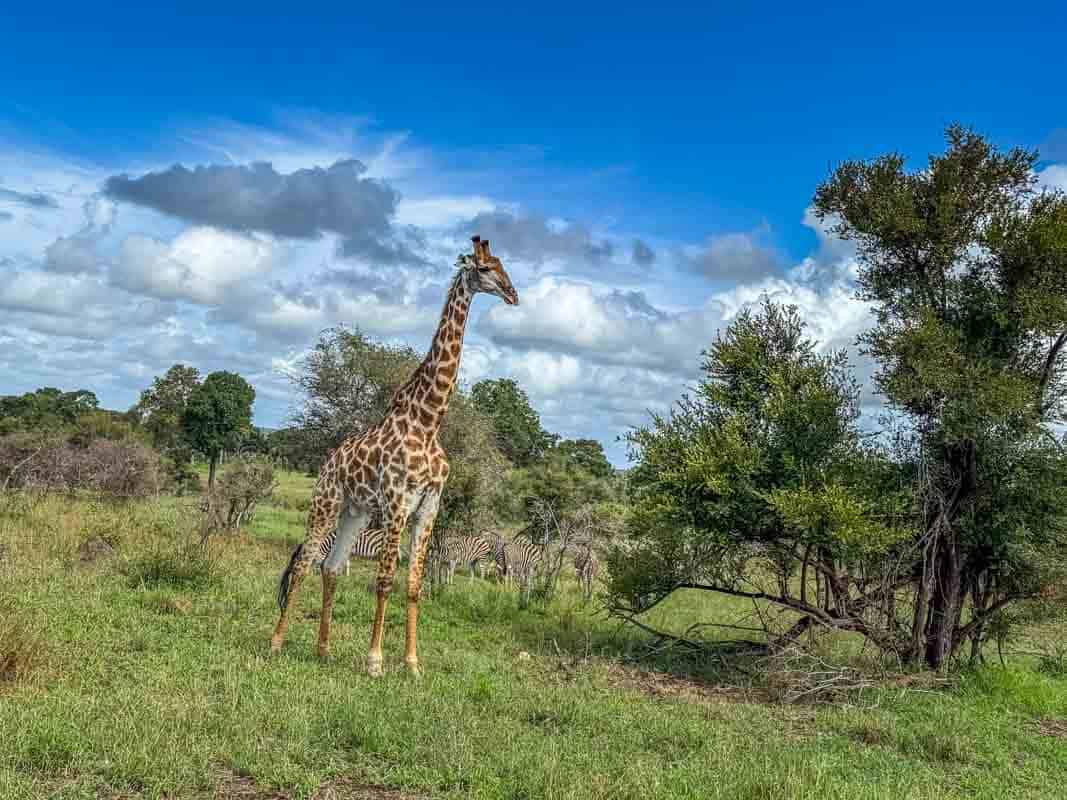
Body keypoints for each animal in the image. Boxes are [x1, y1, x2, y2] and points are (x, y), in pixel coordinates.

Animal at [266, 236, 516, 678]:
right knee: (302, 565)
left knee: (331, 568)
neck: (428, 421)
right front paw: (375, 661)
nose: (513, 294)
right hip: (325, 504)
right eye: (484, 269)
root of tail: (328, 462)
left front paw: (413, 664)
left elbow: (414, 585)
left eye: (504, 266)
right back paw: (277, 642)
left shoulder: (429, 505)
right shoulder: (399, 502)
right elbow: (384, 582)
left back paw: (323, 650)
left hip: (356, 511)